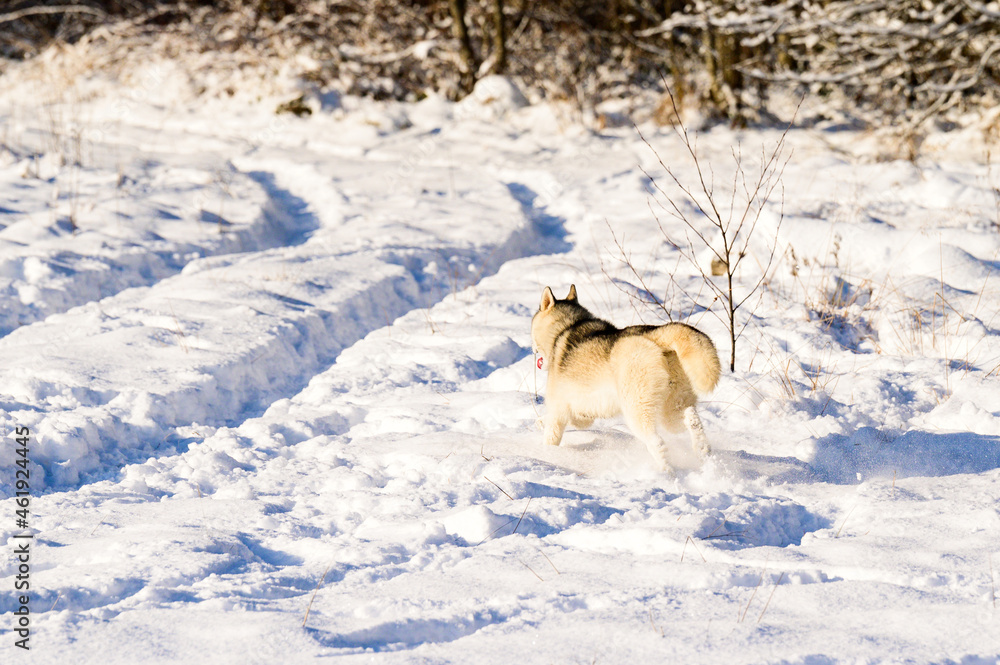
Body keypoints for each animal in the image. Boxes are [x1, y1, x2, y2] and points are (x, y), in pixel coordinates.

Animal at [532, 286, 720, 472]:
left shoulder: (558, 411)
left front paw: (548, 454)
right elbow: (571, 420)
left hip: (637, 410)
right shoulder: (583, 414)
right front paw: (539, 422)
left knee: (656, 442)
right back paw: (702, 448)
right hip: (672, 411)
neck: (564, 328)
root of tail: (652, 334)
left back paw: (666, 472)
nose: (533, 349)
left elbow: (552, 435)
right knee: (691, 417)